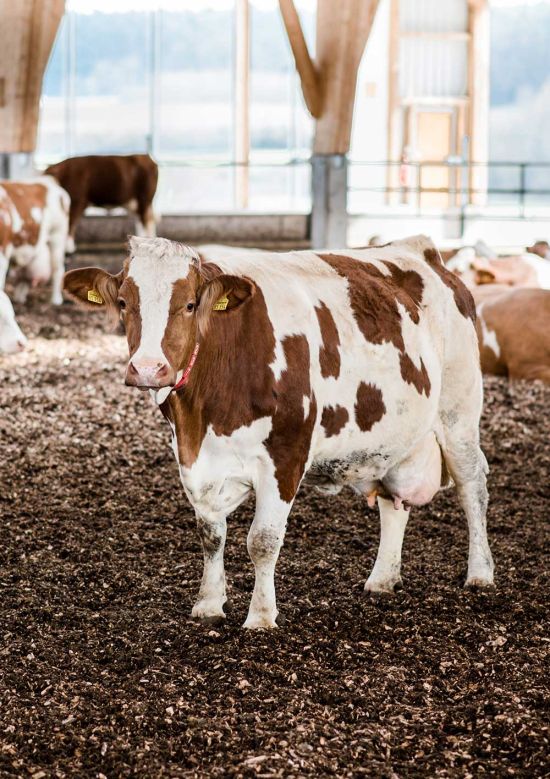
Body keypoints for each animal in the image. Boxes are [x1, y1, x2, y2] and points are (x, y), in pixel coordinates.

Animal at [63, 235, 496, 632]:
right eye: (123, 303)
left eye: (189, 304)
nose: (148, 369)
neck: (201, 415)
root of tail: (422, 250)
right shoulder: (195, 460)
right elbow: (211, 533)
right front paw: (209, 603)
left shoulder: (287, 454)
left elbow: (263, 540)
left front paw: (260, 616)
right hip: (396, 437)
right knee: (394, 500)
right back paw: (382, 578)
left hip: (459, 413)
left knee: (472, 486)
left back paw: (480, 573)